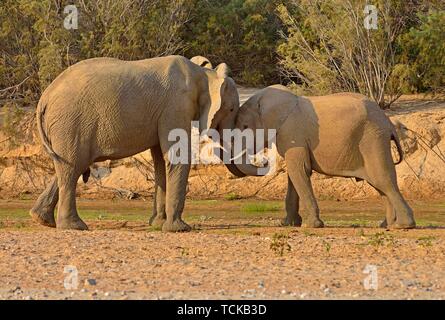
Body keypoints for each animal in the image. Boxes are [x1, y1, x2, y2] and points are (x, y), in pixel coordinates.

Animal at [29, 54, 243, 230]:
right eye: (232, 109)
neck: (203, 74)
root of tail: (45, 97)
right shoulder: (176, 106)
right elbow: (175, 156)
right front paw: (179, 229)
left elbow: (159, 161)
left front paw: (157, 224)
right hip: (71, 123)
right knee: (72, 168)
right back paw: (75, 226)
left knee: (69, 165)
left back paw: (43, 220)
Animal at [231, 85, 414, 229]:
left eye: (245, 127)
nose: (264, 161)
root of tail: (388, 122)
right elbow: (294, 174)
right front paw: (288, 224)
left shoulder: (293, 133)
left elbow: (299, 170)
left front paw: (310, 225)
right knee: (379, 184)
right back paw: (386, 225)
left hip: (372, 141)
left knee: (383, 180)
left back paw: (402, 226)